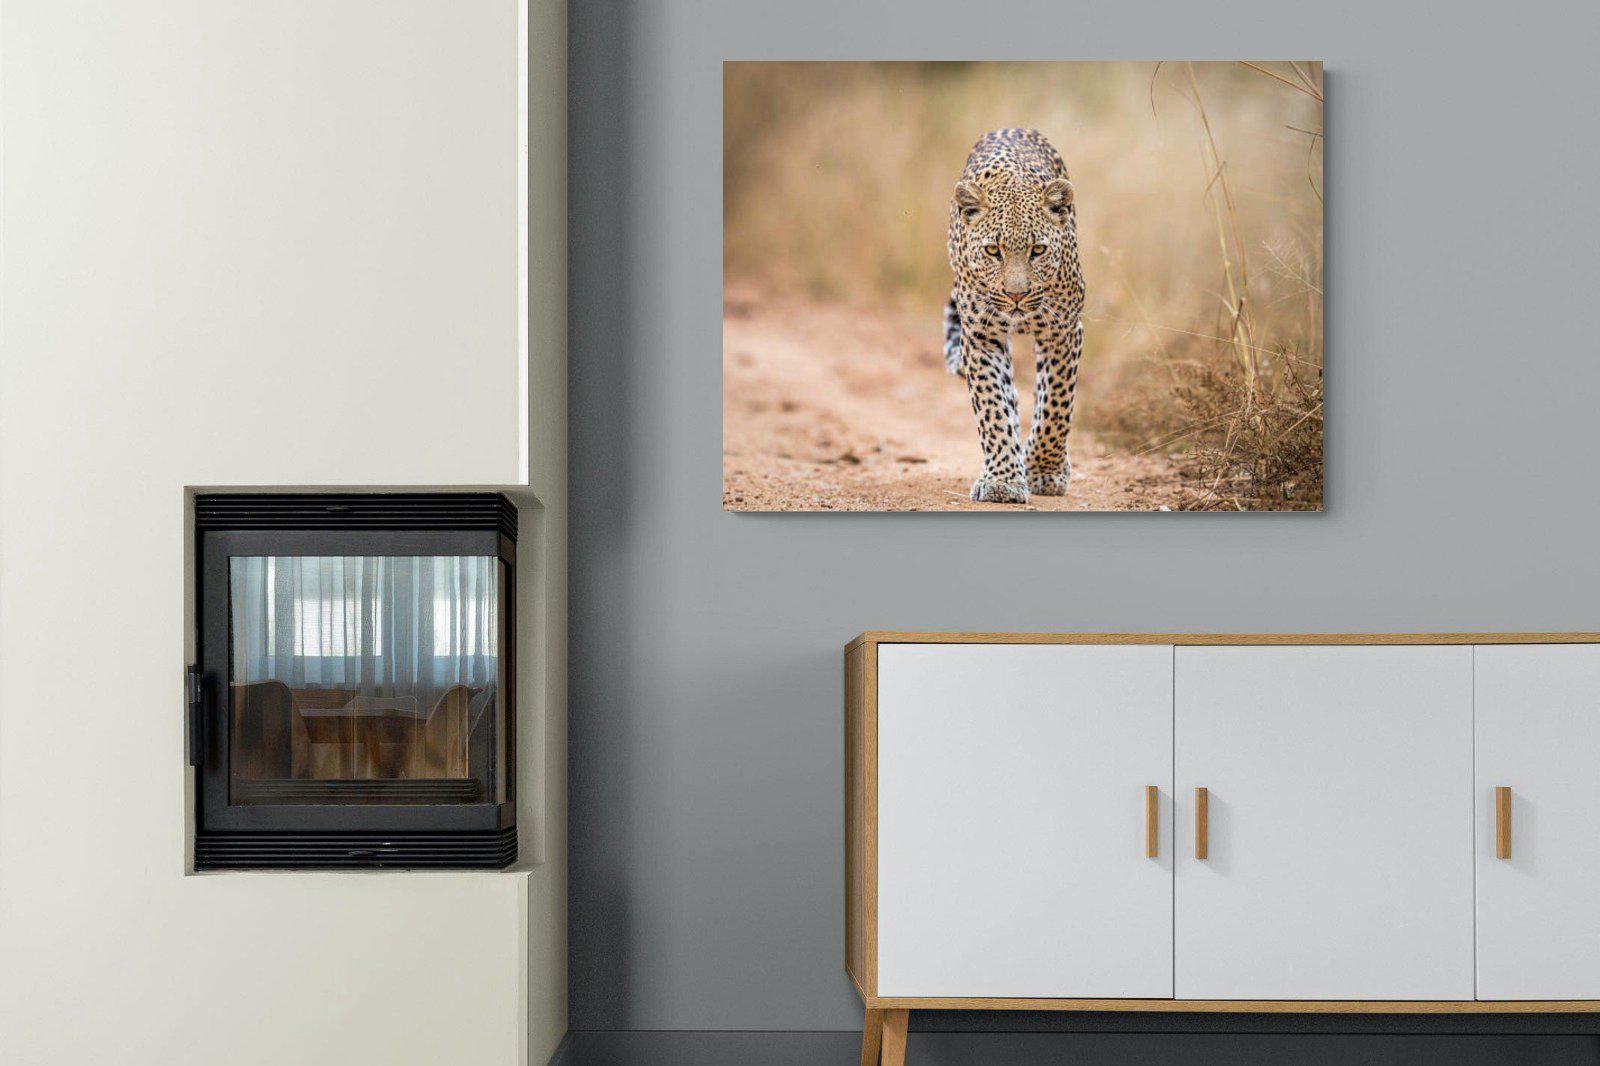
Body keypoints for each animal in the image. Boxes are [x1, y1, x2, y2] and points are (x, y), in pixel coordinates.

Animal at [943, 128, 1085, 504]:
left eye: (1038, 250)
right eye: (994, 251)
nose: (1016, 295)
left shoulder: (1063, 330)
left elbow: (1055, 406)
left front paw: (1045, 471)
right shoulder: (981, 337)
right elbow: (993, 407)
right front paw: (1003, 480)